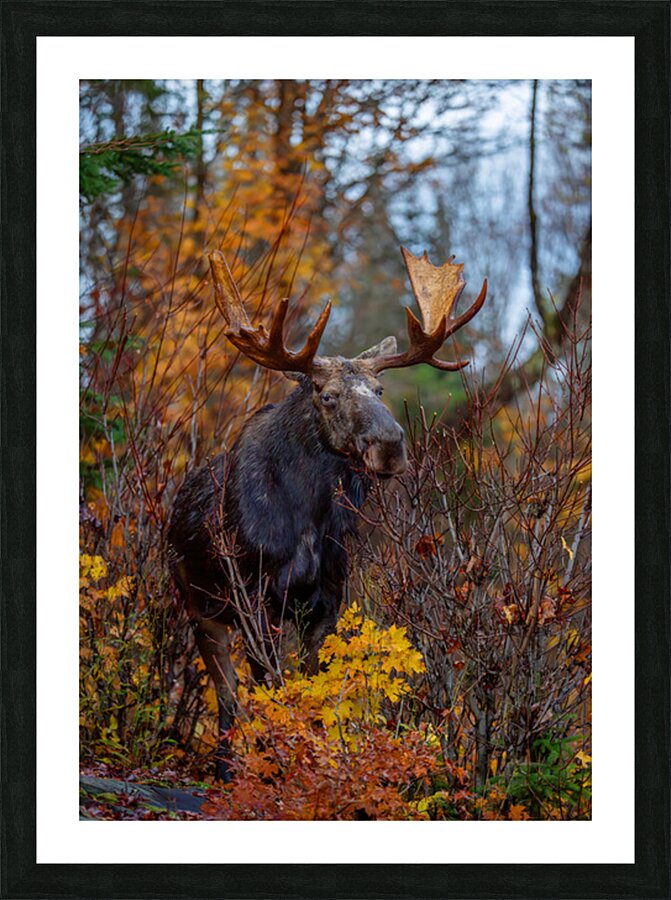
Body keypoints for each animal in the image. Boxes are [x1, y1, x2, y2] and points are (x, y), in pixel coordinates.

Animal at [167, 246, 486, 780]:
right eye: (328, 395)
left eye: (380, 391)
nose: (390, 445)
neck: (308, 517)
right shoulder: (256, 600)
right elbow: (272, 691)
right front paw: (272, 770)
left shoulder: (328, 600)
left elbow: (314, 693)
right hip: (199, 607)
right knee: (228, 695)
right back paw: (224, 769)